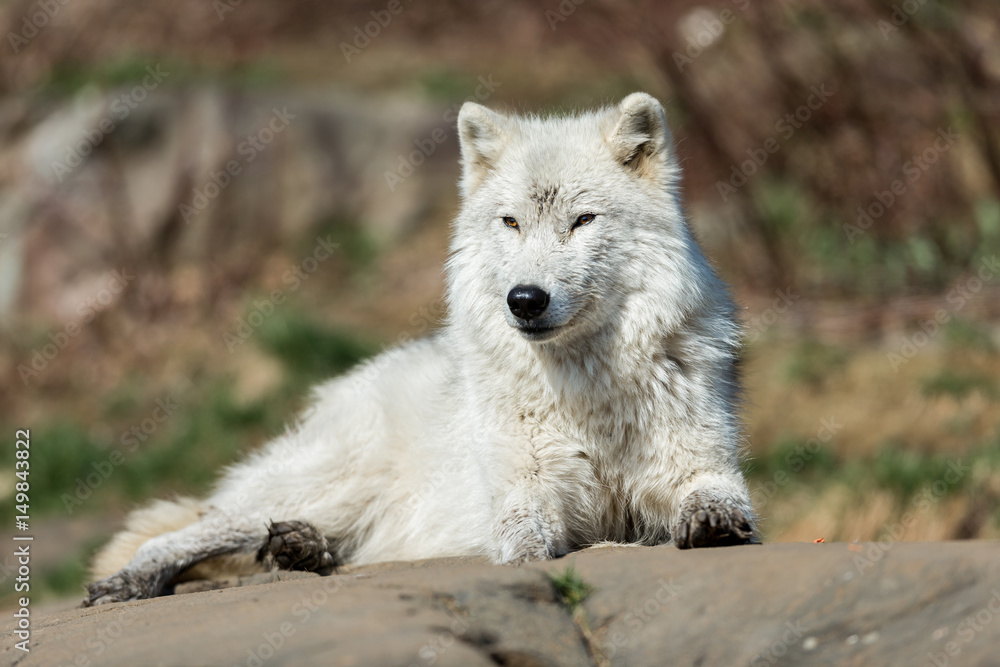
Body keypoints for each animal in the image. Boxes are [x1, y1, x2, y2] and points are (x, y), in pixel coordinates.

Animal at [85, 92, 756, 606]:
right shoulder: (524, 487)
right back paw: (136, 579)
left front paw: (715, 524)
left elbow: (718, 496)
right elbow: (522, 537)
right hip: (325, 485)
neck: (589, 392)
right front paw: (527, 562)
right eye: (511, 222)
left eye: (583, 220)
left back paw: (300, 549)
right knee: (189, 530)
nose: (525, 300)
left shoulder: (700, 464)